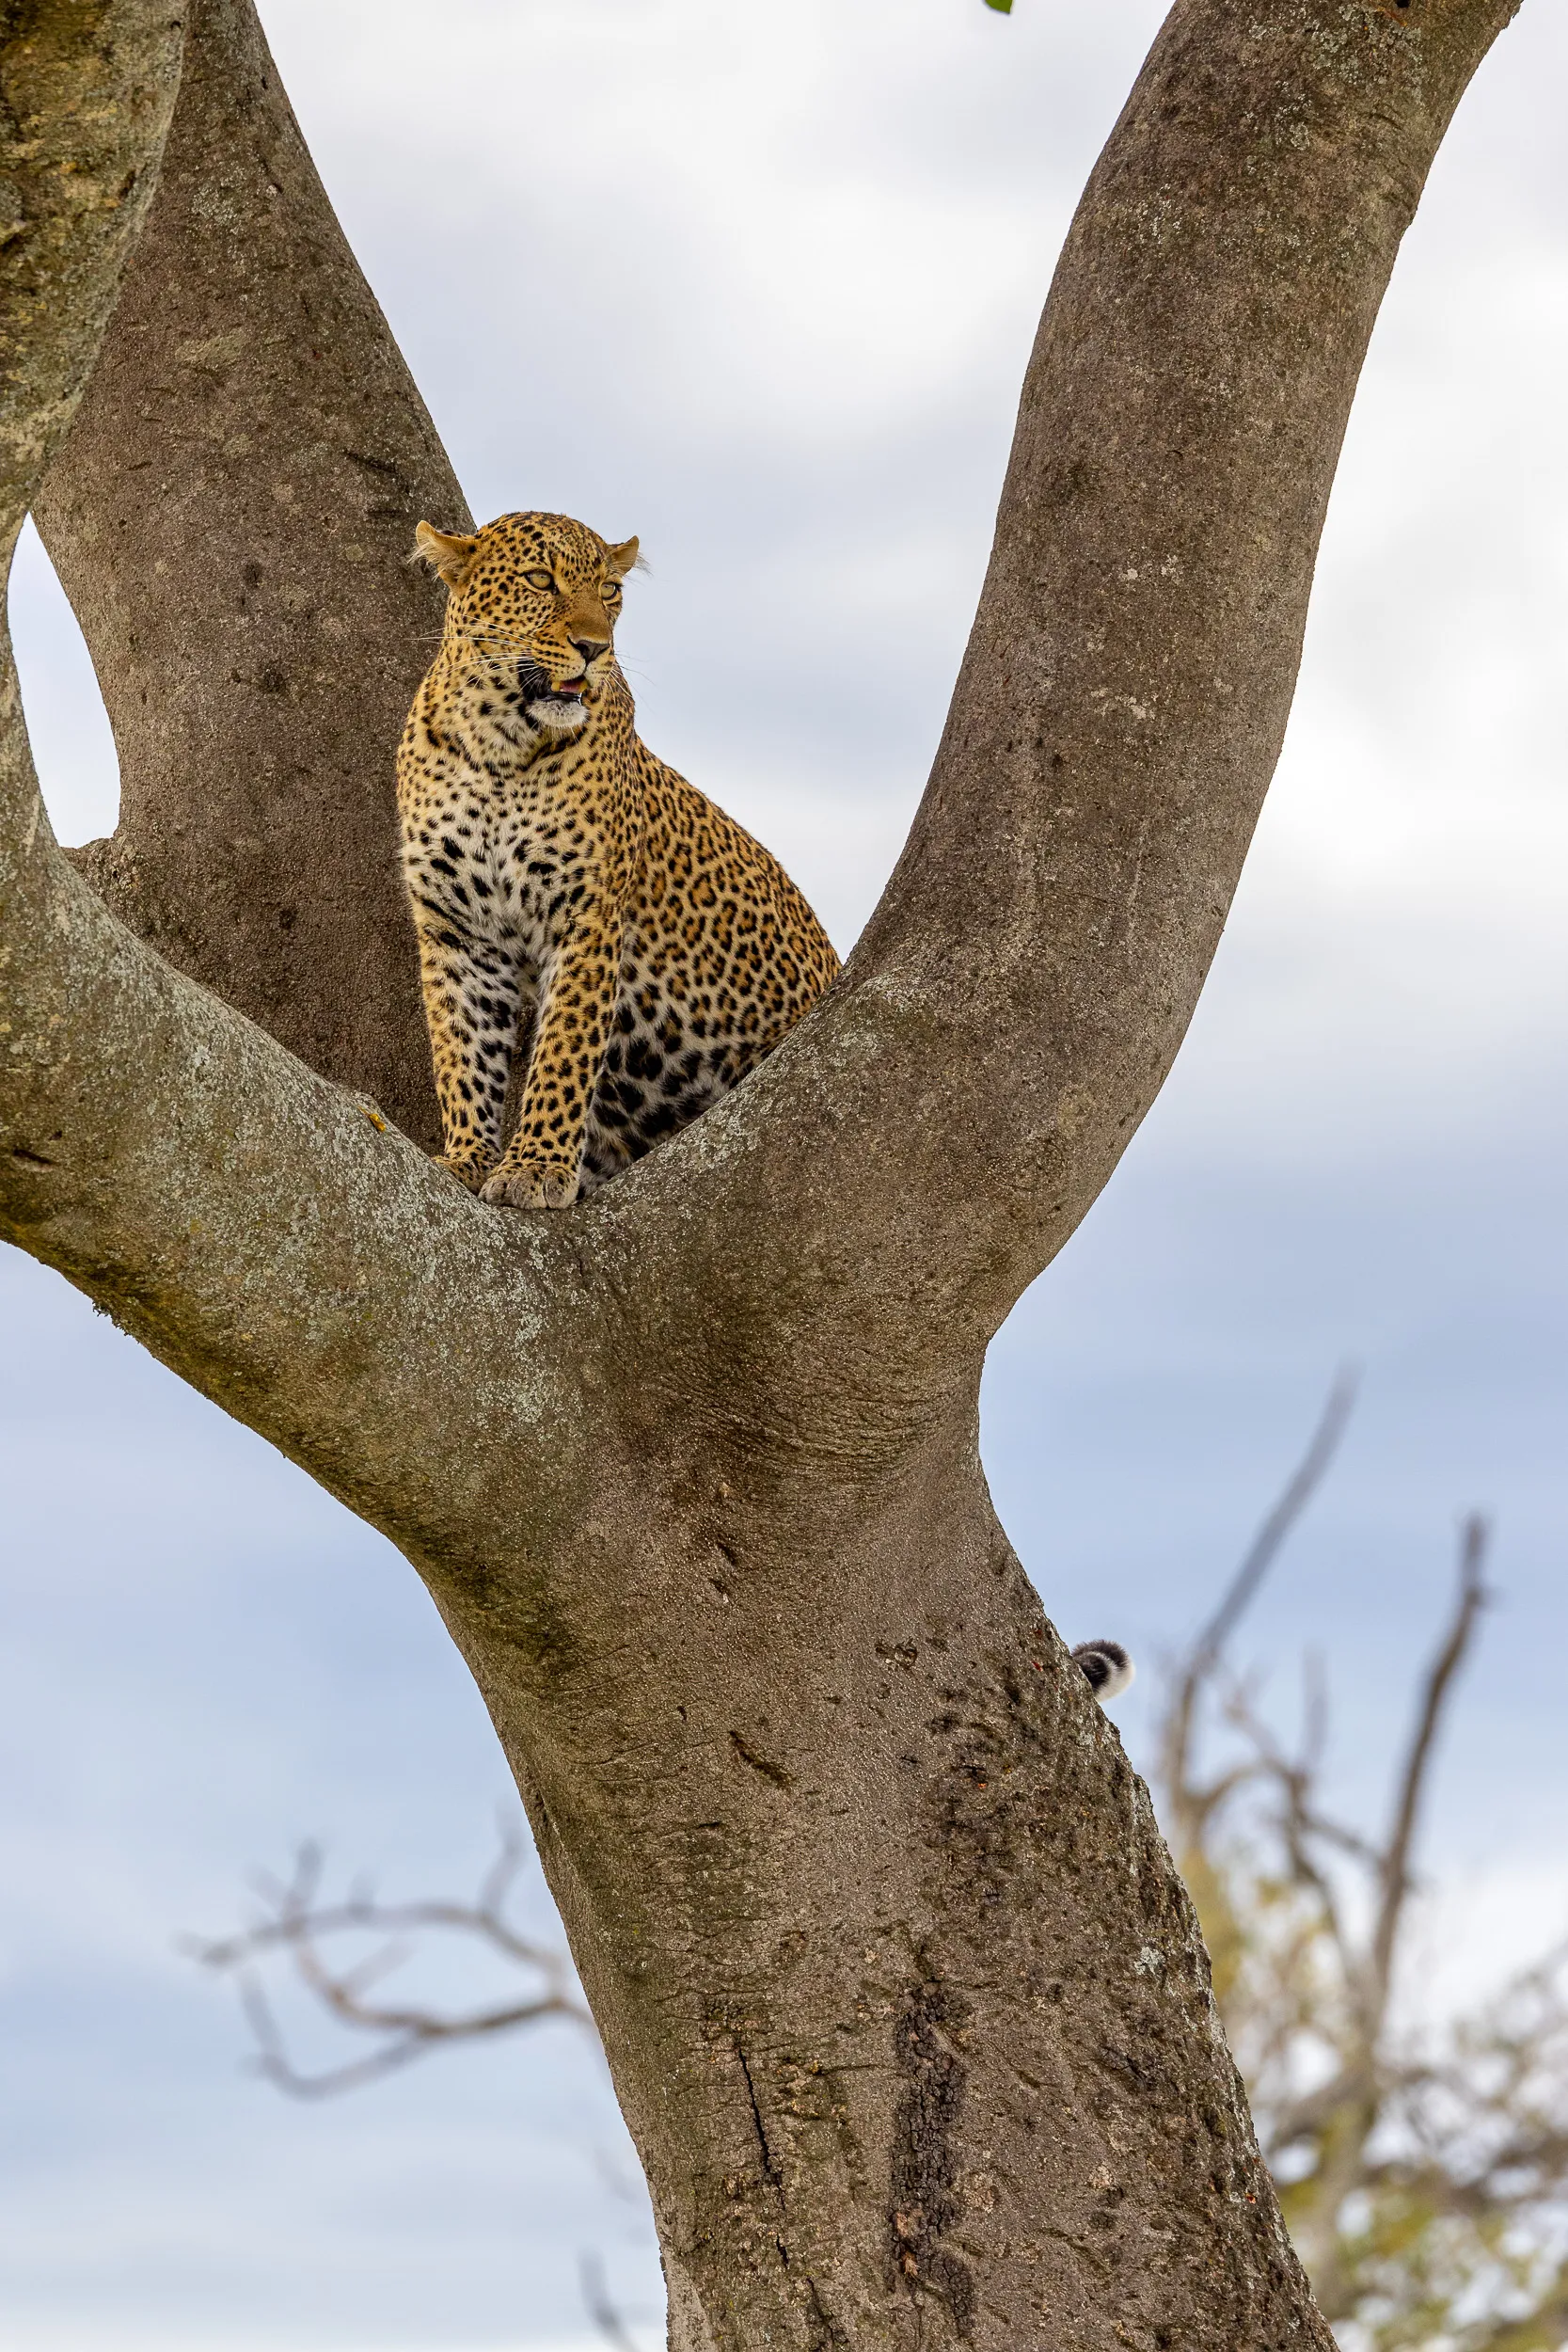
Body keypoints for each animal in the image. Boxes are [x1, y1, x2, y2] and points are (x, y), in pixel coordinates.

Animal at [397, 510, 840, 1209]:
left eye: (609, 592)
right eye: (539, 580)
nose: (594, 648)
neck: (498, 747)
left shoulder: (587, 917)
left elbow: (563, 1049)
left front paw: (535, 1169)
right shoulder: (457, 928)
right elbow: (462, 1050)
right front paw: (467, 1158)